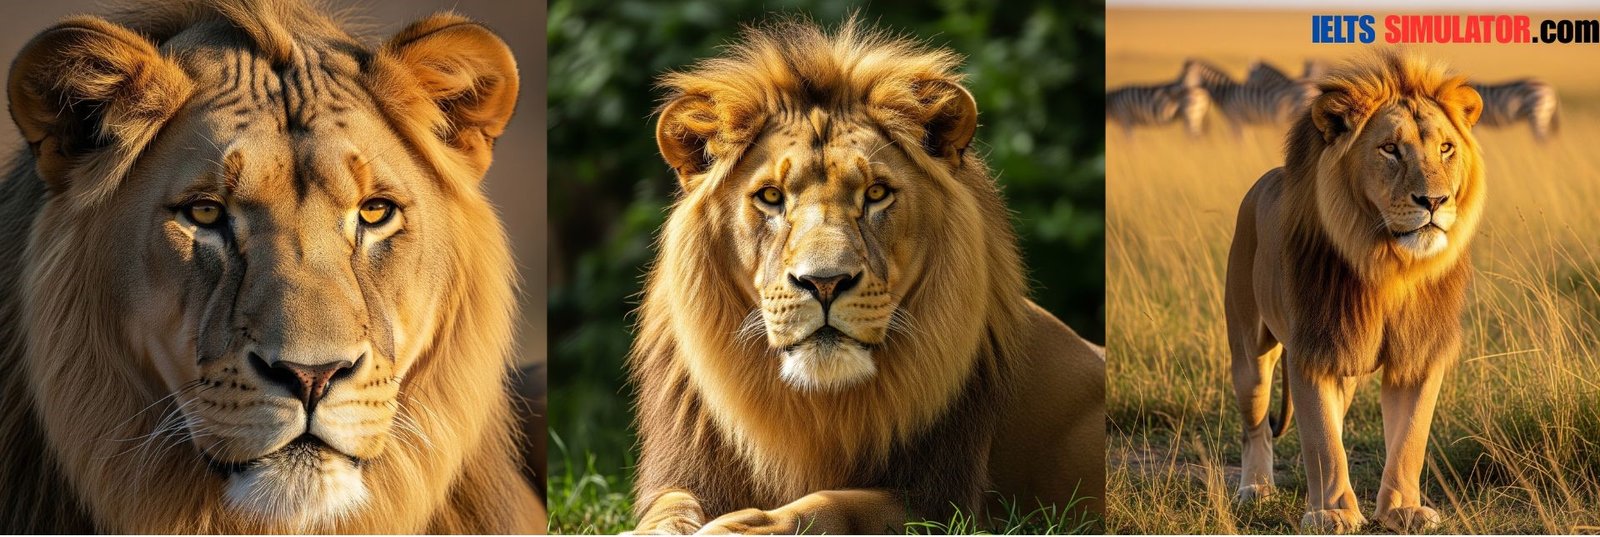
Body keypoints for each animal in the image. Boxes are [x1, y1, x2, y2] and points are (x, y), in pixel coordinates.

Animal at [627, 17, 1106, 535]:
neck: (817, 404)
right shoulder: (682, 473)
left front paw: (742, 525)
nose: (824, 283)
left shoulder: (942, 501)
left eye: (876, 193)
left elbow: (830, 504)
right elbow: (666, 512)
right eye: (771, 197)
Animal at [1225, 49, 1484, 534]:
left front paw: (1402, 509)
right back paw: (1256, 489)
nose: (1434, 201)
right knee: (1257, 427)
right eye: (1390, 149)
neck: (1389, 266)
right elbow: (1322, 441)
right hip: (1249, 350)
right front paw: (1333, 512)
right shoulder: (1313, 352)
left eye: (1446, 148)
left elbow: (1409, 439)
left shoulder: (1419, 355)